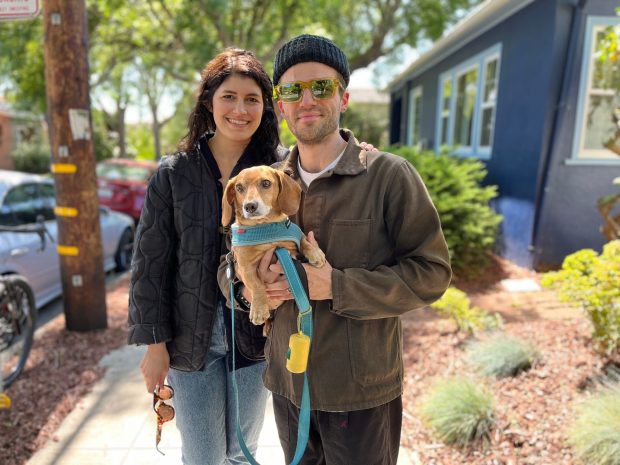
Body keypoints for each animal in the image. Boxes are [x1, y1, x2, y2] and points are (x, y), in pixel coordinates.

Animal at [224, 165, 330, 324]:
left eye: (266, 183)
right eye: (239, 187)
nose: (249, 206)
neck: (265, 229)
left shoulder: (296, 234)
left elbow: (304, 241)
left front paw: (315, 253)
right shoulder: (245, 268)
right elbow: (256, 285)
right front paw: (259, 309)